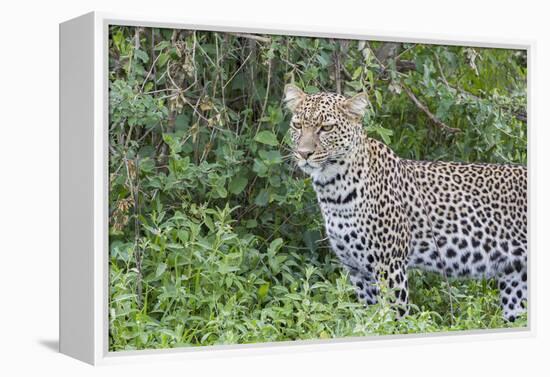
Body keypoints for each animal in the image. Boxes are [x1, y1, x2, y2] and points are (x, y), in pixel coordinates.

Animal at [284, 83, 532, 320]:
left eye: (326, 128)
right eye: (297, 125)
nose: (304, 153)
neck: (333, 190)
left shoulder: (389, 266)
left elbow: (393, 319)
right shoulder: (357, 271)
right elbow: (368, 321)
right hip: (516, 281)